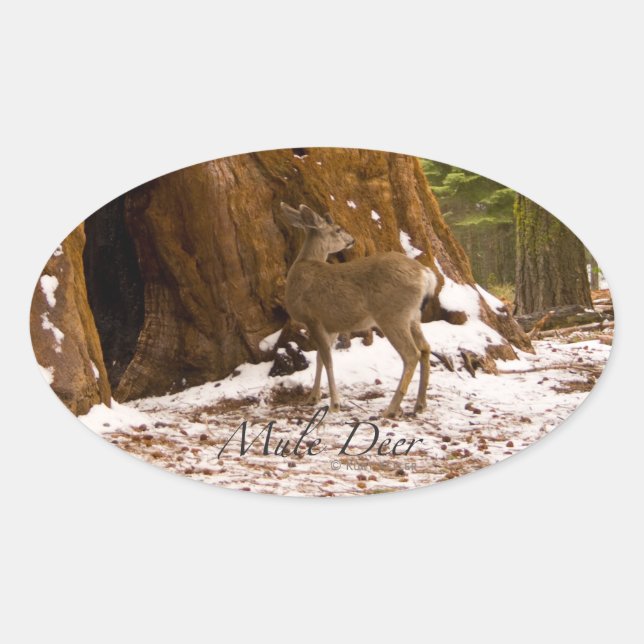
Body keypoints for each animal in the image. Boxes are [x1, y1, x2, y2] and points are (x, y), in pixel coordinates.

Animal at [280, 202, 437, 418]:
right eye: (338, 229)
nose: (352, 240)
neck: (304, 265)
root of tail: (426, 274)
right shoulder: (330, 324)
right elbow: (321, 358)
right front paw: (313, 397)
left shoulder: (313, 318)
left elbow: (327, 360)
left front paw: (334, 404)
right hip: (413, 315)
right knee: (425, 348)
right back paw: (420, 404)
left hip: (393, 315)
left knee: (411, 354)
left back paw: (391, 409)